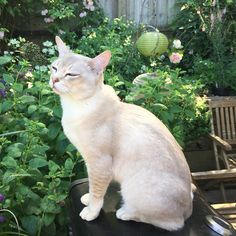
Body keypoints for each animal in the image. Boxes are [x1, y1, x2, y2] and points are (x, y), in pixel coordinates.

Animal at [49, 36, 192, 230]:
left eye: (71, 75)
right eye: (54, 68)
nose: (54, 80)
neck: (75, 107)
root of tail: (189, 211)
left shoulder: (99, 164)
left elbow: (97, 193)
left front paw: (90, 212)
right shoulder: (90, 163)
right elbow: (92, 188)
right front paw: (87, 199)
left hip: (133, 188)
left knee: (173, 223)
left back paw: (125, 212)